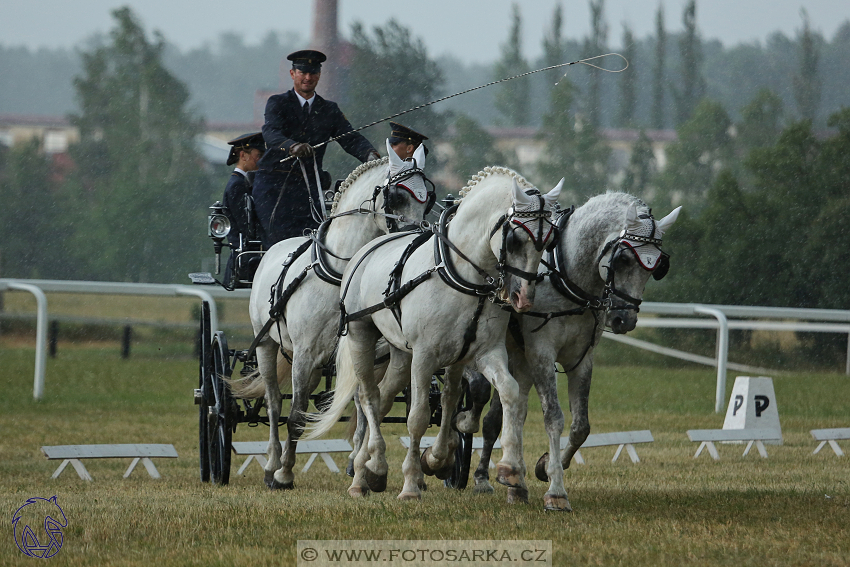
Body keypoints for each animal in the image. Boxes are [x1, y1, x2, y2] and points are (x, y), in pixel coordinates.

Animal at [306, 168, 564, 502]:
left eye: (549, 240)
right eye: (515, 238)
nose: (523, 298)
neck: (462, 275)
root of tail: (365, 250)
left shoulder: (485, 352)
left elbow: (502, 392)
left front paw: (503, 467)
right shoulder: (425, 356)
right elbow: (417, 416)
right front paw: (410, 485)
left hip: (401, 354)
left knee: (389, 396)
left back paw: (366, 468)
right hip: (361, 334)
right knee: (368, 398)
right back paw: (368, 470)